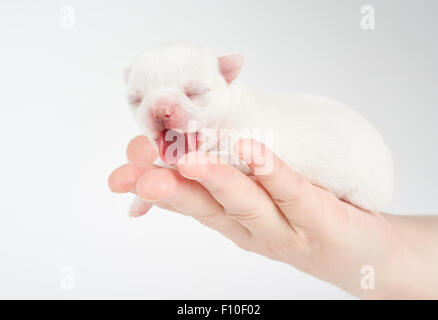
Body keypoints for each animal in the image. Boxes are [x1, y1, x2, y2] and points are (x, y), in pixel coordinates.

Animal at [125, 42, 396, 212]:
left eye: (195, 92)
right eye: (136, 99)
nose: (160, 111)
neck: (228, 118)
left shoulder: (251, 147)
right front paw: (139, 201)